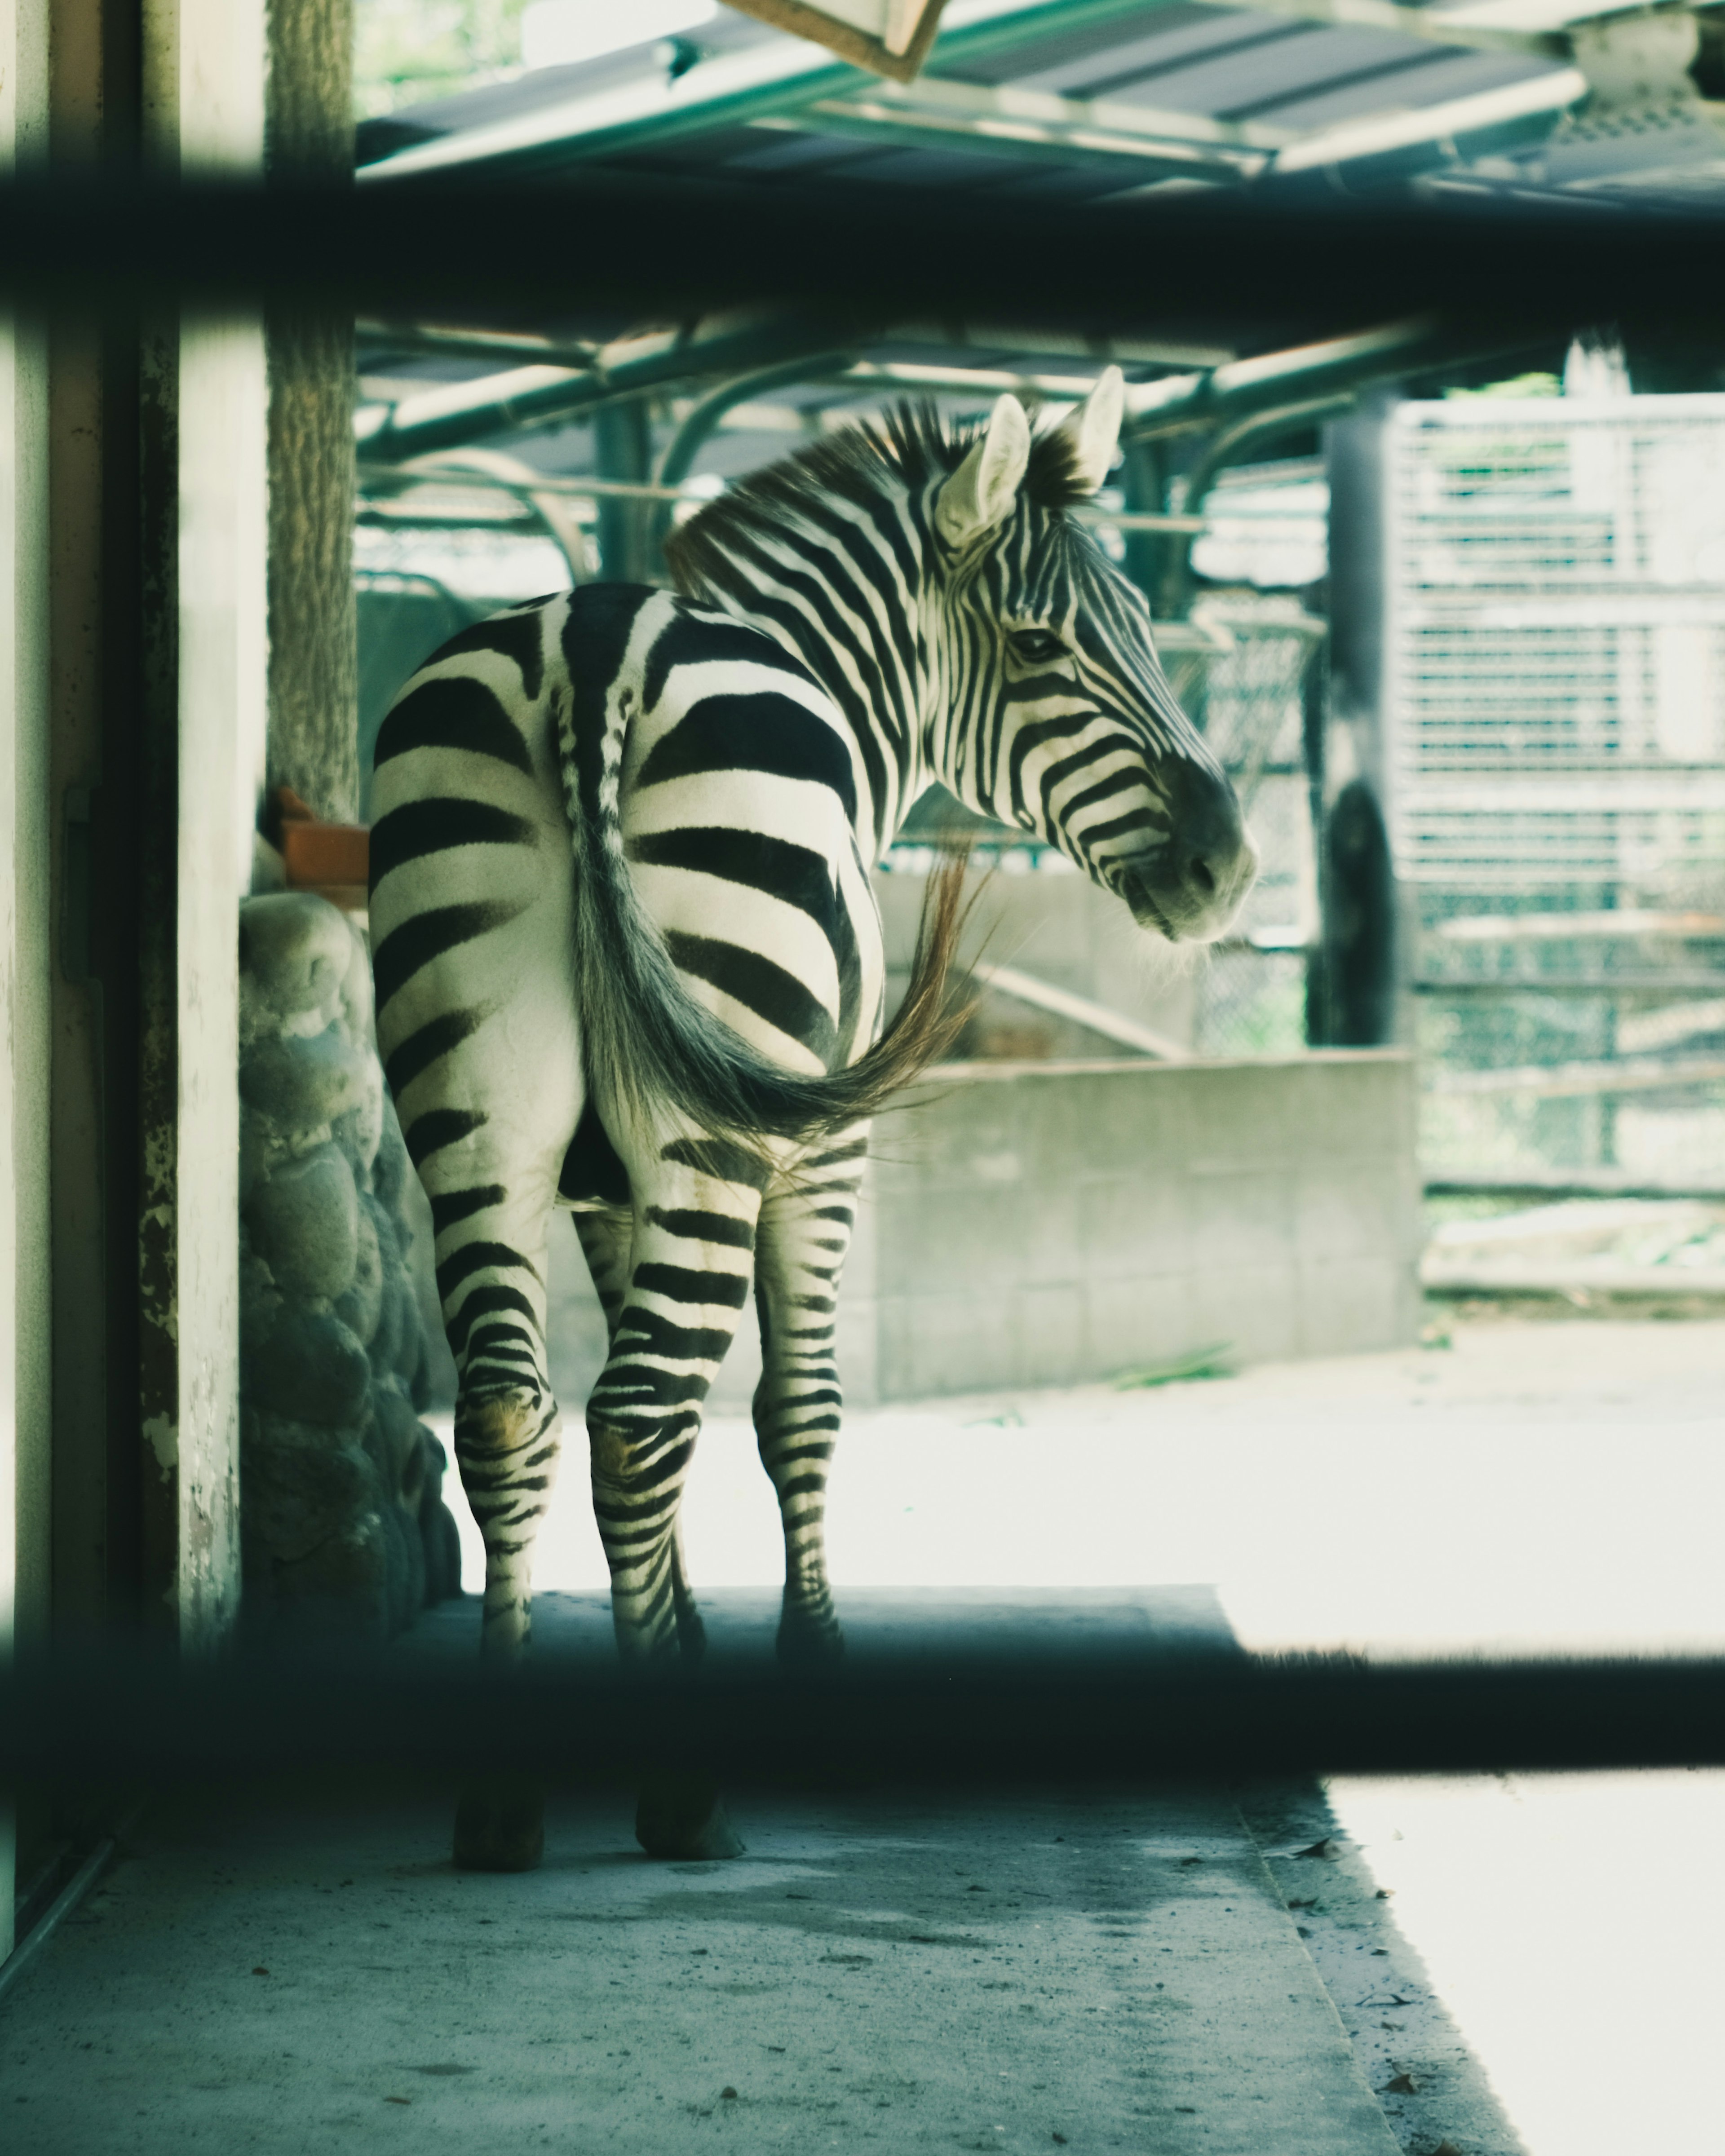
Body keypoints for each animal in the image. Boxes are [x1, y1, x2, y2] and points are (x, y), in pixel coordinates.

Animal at [367, 371, 1251, 1871]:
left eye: (1142, 625)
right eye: (1040, 646)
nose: (1229, 865)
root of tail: (582, 643)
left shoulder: (611, 1183)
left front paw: (671, 1638)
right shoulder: (814, 1159)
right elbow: (799, 1408)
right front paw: (792, 1662)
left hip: (477, 1118)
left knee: (514, 1412)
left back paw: (500, 1806)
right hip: (721, 1128)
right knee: (640, 1414)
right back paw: (680, 1802)